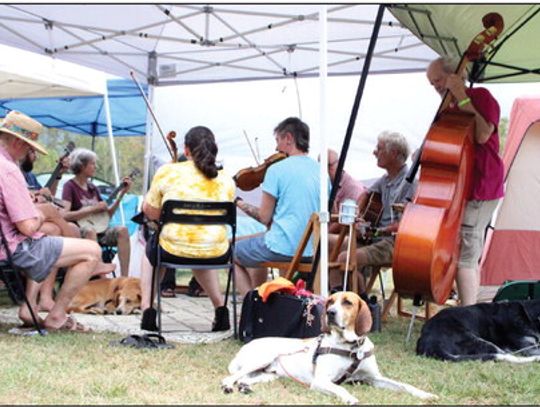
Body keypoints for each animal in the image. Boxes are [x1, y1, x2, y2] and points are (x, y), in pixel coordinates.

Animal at [221, 294, 436, 404]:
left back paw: (244, 386)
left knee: (245, 378)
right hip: (263, 357)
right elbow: (339, 388)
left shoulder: (374, 378)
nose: (331, 313)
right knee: (230, 377)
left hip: (269, 374)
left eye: (347, 302)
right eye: (331, 301)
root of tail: (247, 345)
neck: (351, 346)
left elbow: (405, 385)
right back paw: (228, 386)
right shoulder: (321, 381)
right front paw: (350, 398)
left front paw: (425, 394)